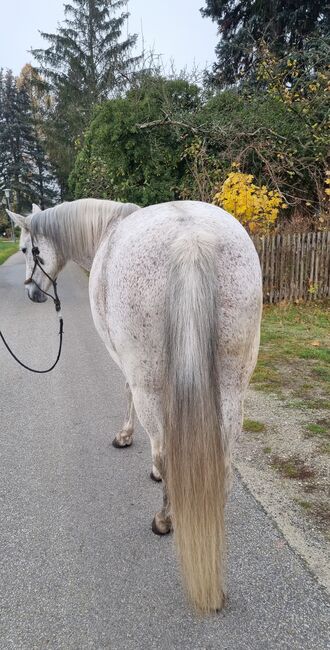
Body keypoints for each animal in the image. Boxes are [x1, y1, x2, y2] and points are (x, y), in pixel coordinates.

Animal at [7, 199, 262, 612]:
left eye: (29, 249)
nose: (31, 292)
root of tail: (191, 239)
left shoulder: (125, 360)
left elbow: (128, 395)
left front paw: (125, 437)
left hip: (151, 380)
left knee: (164, 451)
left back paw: (164, 520)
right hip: (233, 384)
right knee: (222, 460)